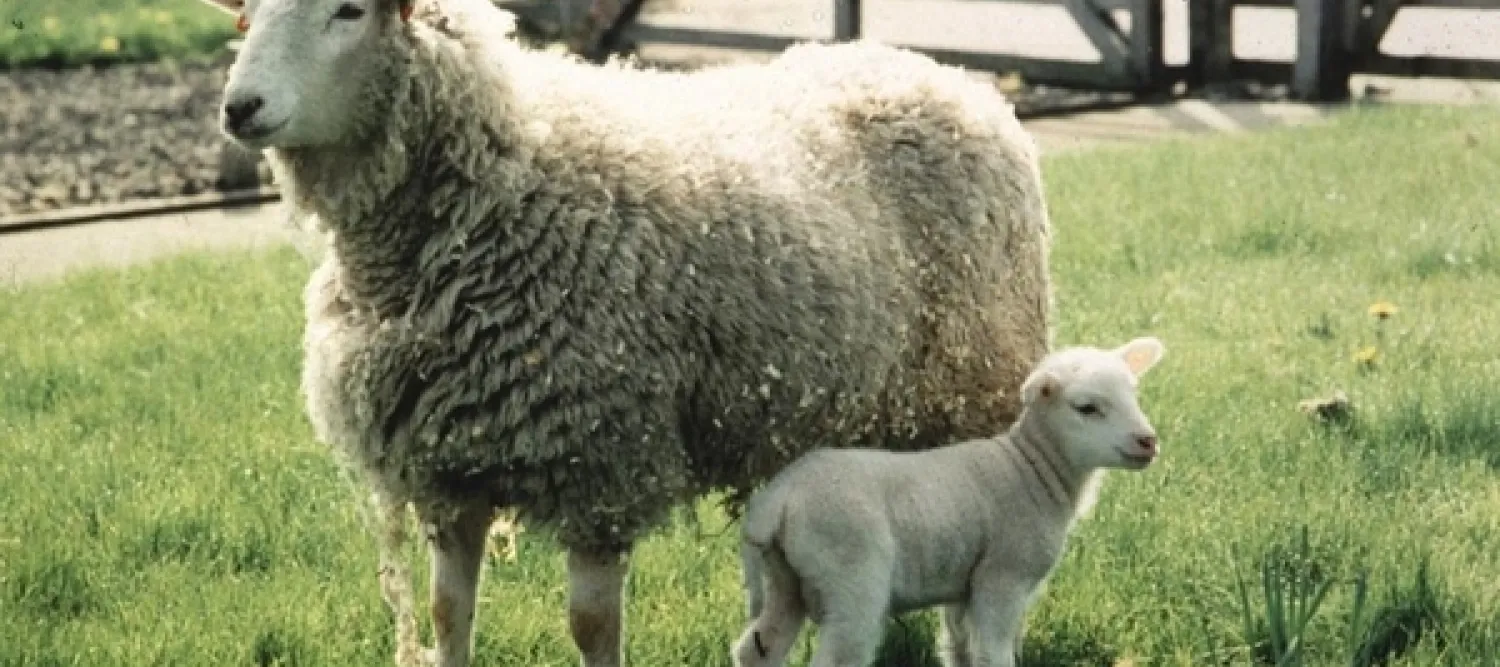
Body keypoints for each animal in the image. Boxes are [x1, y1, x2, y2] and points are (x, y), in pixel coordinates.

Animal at [193, 0, 1054, 665]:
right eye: (250, 14)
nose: (239, 108)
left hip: (973, 382)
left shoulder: (601, 460)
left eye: (349, 11)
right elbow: (448, 614)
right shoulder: (446, 468)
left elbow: (591, 624)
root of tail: (946, 75)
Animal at [732, 337, 1165, 667]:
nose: (1148, 441)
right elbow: (993, 655)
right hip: (851, 576)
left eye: (1134, 395)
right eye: (1086, 408)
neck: (1030, 468)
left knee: (757, 648)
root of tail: (778, 498)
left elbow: (960, 650)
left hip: (783, 578)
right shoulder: (1002, 578)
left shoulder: (962, 586)